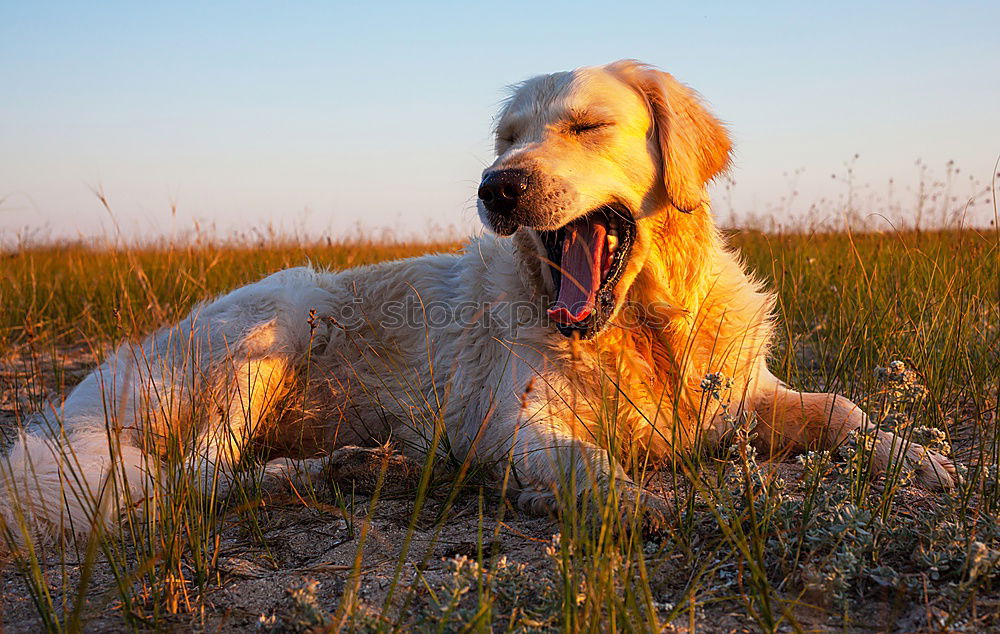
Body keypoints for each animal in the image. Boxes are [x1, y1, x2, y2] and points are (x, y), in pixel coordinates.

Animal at [0, 59, 952, 544]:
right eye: (506, 137)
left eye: (585, 126)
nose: (498, 186)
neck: (643, 329)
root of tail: (80, 394)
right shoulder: (514, 418)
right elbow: (583, 466)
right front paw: (617, 507)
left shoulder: (745, 395)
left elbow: (842, 408)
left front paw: (917, 458)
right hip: (282, 317)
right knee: (193, 477)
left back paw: (357, 465)